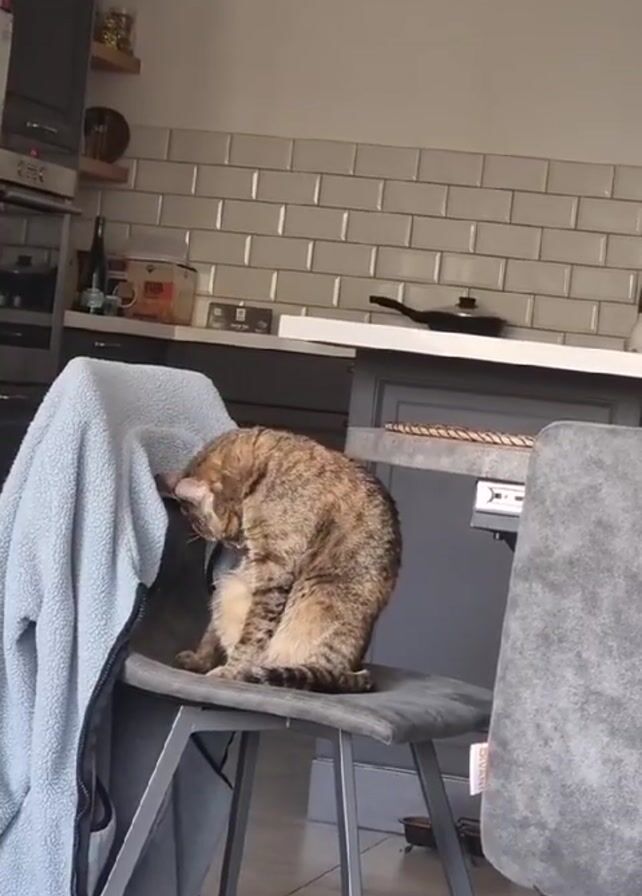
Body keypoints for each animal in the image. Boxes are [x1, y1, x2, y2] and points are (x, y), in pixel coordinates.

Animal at [159, 427, 401, 693]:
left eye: (214, 533)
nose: (234, 544)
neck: (264, 468)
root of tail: (351, 669)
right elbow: (212, 633)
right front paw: (199, 659)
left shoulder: (274, 571)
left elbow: (252, 635)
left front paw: (231, 671)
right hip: (230, 586)